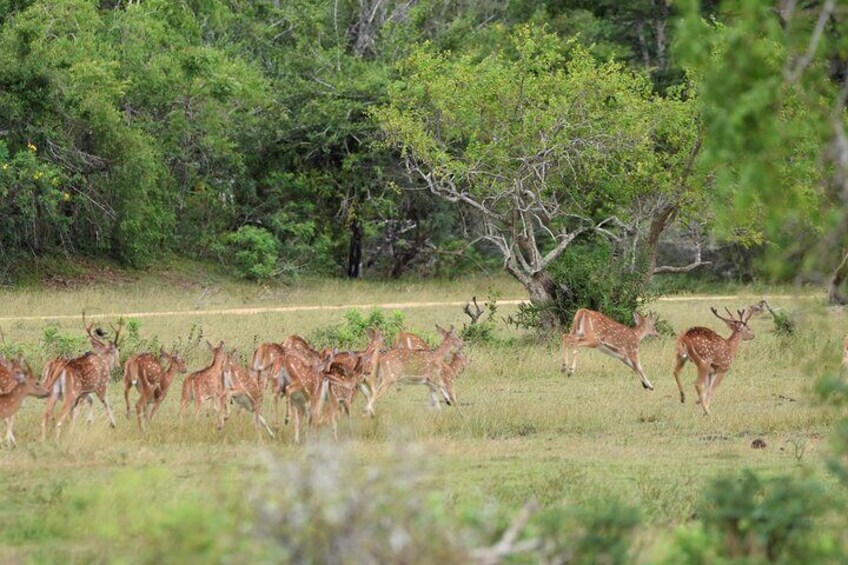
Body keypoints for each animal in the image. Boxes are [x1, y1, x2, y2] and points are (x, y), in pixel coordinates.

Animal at [41, 312, 122, 440]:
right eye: (118, 350)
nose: (118, 365)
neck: (104, 362)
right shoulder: (101, 386)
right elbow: (106, 403)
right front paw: (113, 425)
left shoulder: (84, 392)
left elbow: (88, 404)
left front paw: (88, 424)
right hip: (70, 393)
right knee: (59, 416)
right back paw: (57, 440)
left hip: (53, 392)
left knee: (45, 415)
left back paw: (43, 440)